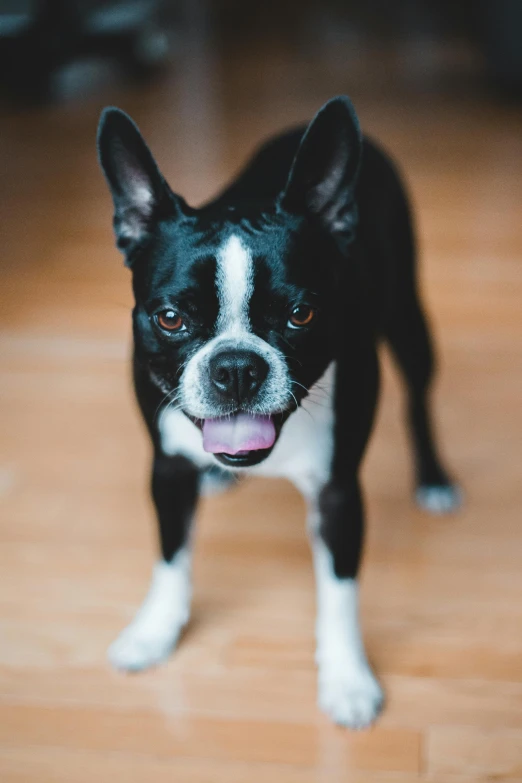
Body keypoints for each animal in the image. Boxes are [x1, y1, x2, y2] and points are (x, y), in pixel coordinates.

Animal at [97, 96, 460, 728]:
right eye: (170, 318)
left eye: (301, 315)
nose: (237, 366)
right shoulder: (167, 469)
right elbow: (171, 558)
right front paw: (154, 632)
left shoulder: (338, 493)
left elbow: (338, 591)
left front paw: (346, 679)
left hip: (409, 321)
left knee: (419, 399)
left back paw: (434, 480)